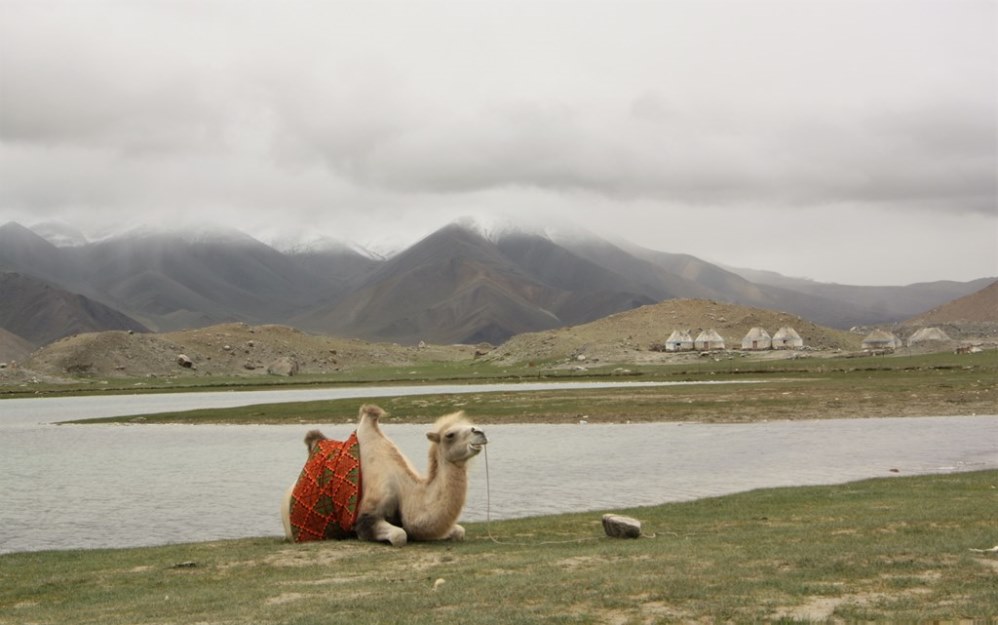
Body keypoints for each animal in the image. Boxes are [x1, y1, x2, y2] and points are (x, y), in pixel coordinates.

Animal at [282, 404, 488, 544]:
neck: (407, 490)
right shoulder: (367, 517)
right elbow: (399, 535)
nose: (480, 432)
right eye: (450, 435)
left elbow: (459, 531)